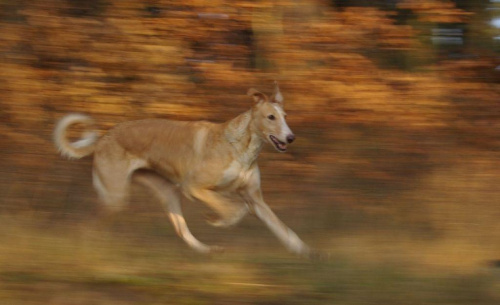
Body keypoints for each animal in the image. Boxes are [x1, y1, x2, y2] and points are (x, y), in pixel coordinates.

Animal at [52, 82, 314, 256]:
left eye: (285, 116)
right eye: (271, 117)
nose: (291, 138)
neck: (242, 149)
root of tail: (103, 139)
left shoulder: (256, 199)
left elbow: (282, 229)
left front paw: (304, 251)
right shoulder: (195, 187)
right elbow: (233, 209)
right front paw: (217, 219)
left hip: (167, 193)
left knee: (181, 230)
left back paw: (205, 250)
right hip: (116, 196)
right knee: (85, 225)